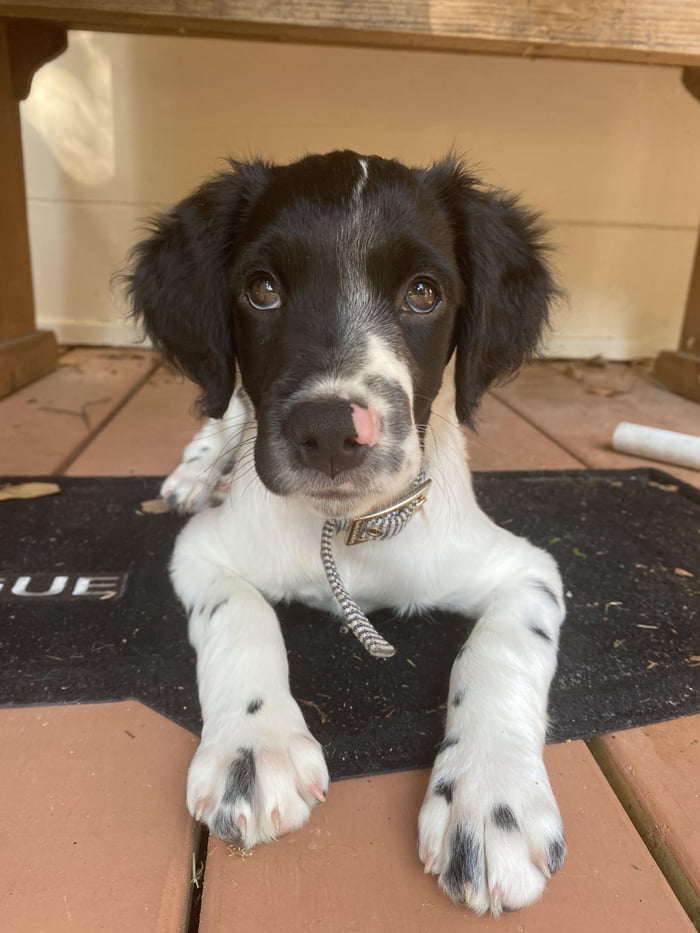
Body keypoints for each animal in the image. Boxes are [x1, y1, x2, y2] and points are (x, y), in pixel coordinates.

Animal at [126, 149, 568, 912]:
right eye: (262, 290)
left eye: (423, 293)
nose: (330, 430)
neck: (343, 526)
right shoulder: (203, 553)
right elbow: (240, 617)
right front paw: (254, 746)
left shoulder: (528, 570)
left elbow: (500, 652)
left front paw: (492, 797)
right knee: (221, 413)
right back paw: (195, 474)